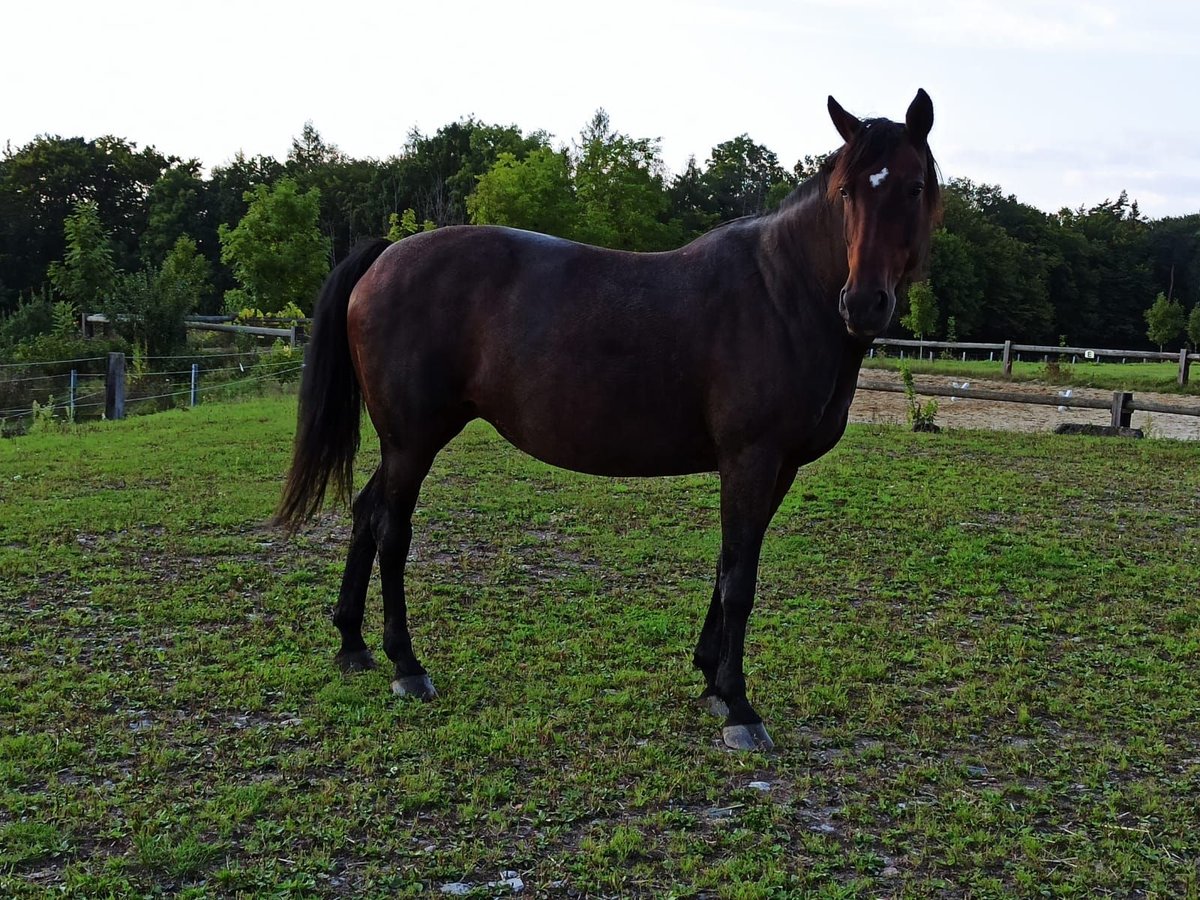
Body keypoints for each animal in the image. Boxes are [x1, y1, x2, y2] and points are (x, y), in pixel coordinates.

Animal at [277, 90, 940, 751]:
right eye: (846, 191)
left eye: (912, 187)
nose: (864, 303)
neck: (782, 295)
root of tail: (385, 256)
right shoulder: (750, 459)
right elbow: (740, 580)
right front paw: (738, 704)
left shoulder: (777, 469)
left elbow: (728, 565)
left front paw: (710, 680)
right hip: (411, 442)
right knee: (392, 531)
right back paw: (406, 665)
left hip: (404, 444)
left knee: (366, 514)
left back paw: (353, 644)